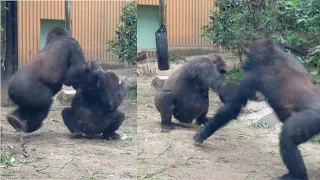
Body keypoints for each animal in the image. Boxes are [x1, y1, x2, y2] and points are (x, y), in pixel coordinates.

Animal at [192, 39, 320, 180]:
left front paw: (204, 132)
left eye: (248, 54)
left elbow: (234, 106)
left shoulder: (253, 74)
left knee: (288, 137)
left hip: (313, 118)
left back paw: (296, 176)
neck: (273, 55)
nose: (245, 64)